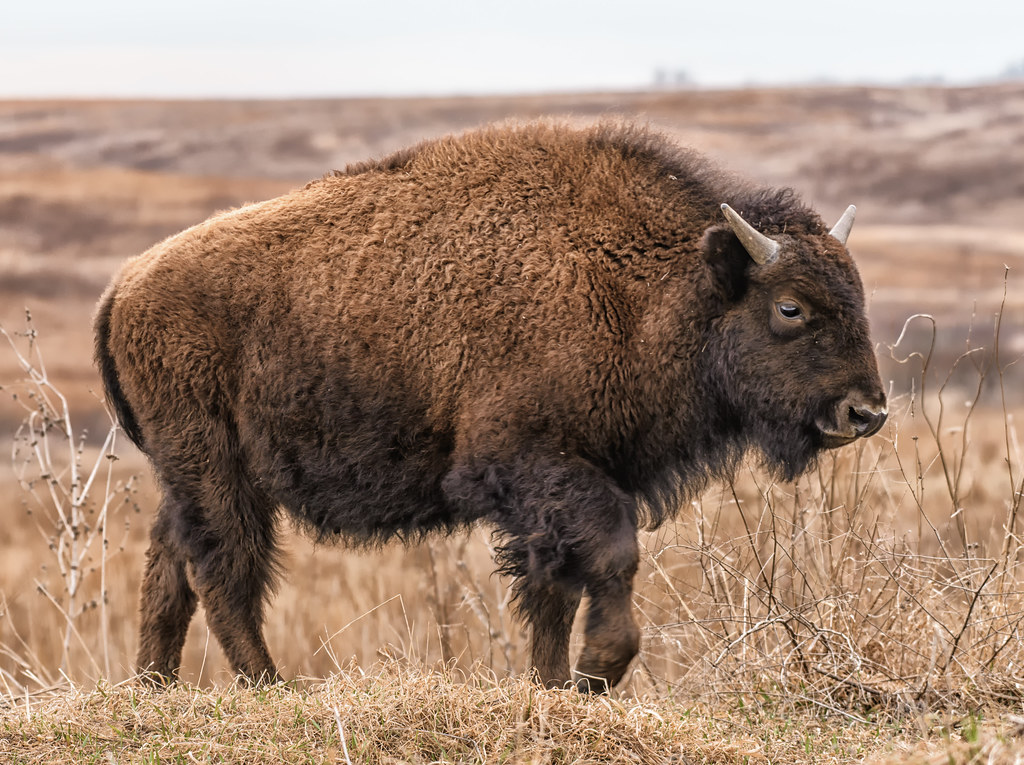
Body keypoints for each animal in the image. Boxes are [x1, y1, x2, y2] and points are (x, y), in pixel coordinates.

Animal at [94, 121, 887, 691]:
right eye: (790, 306)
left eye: (858, 298)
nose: (866, 413)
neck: (642, 285)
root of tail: (125, 284)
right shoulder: (534, 466)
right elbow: (609, 556)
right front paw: (596, 672)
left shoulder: (568, 486)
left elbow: (552, 591)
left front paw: (553, 684)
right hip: (218, 470)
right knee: (223, 568)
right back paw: (270, 686)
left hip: (189, 475)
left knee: (171, 567)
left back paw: (154, 685)